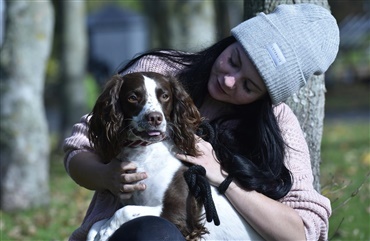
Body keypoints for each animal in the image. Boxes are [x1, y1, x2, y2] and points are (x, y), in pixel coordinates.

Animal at [85, 72, 262, 241]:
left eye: (165, 96)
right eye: (133, 97)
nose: (155, 118)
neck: (145, 154)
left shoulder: (181, 215)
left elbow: (125, 211)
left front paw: (106, 231)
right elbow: (96, 225)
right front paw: (100, 232)